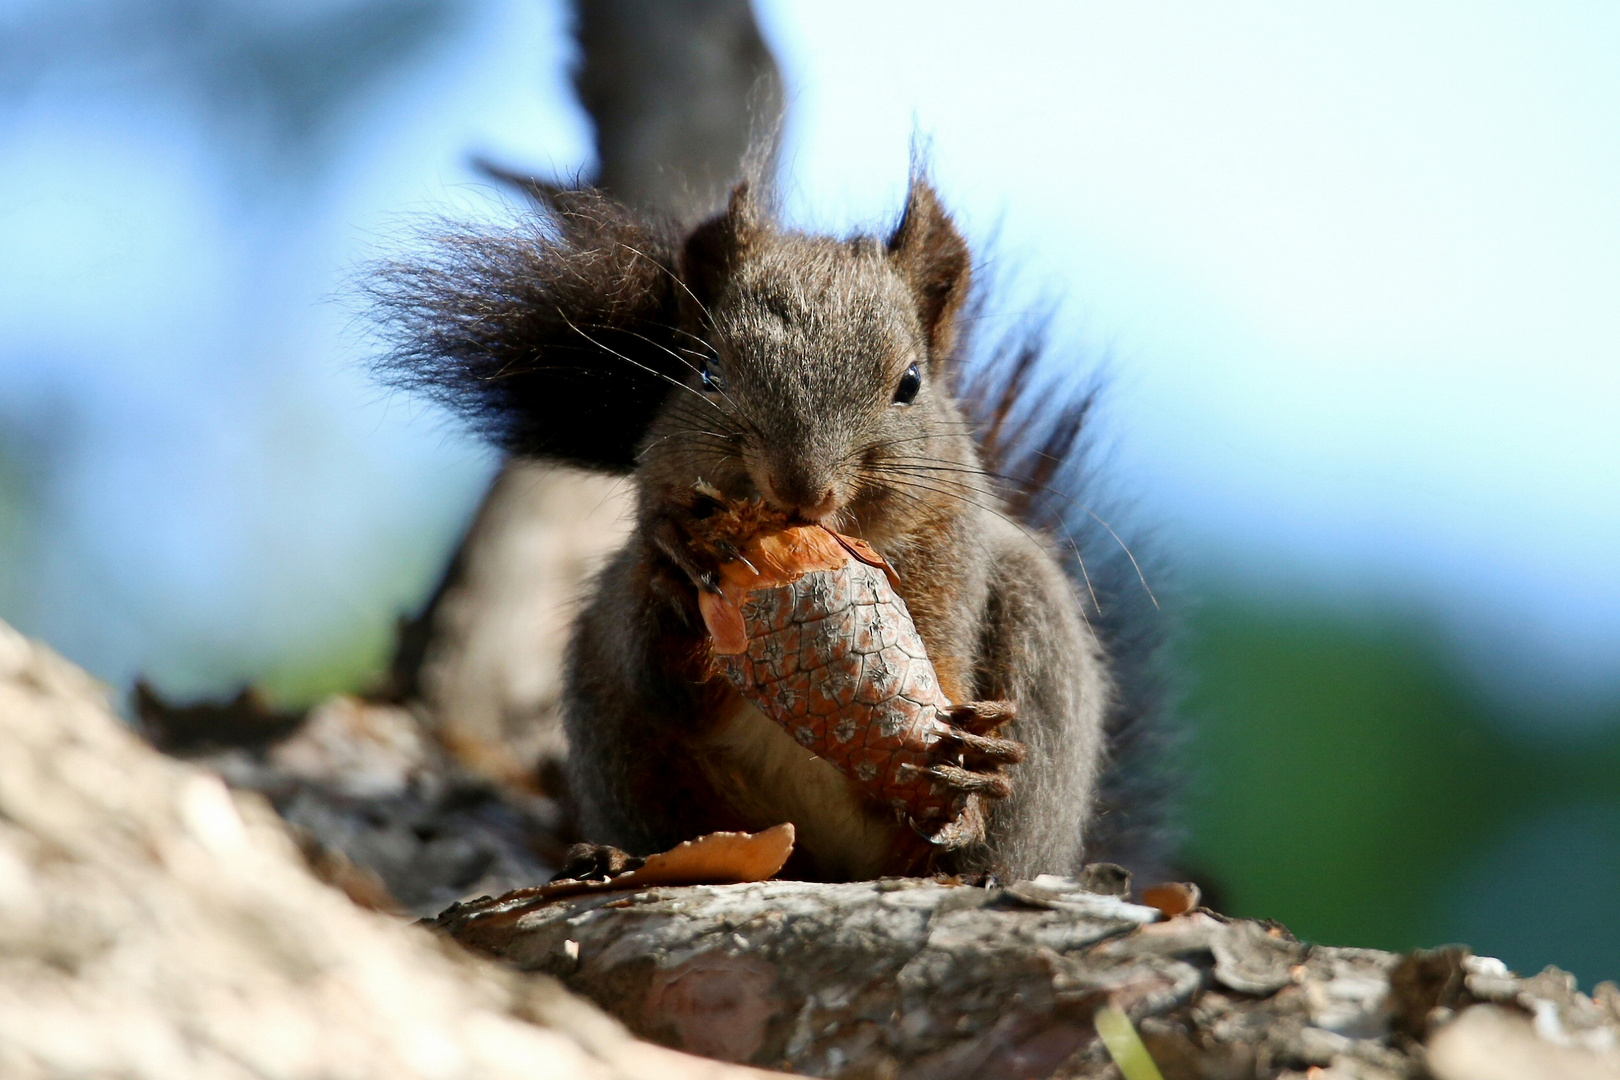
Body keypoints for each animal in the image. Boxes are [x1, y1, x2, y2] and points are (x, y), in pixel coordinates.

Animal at [372, 175, 1172, 887]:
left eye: (911, 383)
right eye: (705, 372)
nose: (799, 488)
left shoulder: (948, 575)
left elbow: (925, 693)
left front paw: (963, 756)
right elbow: (667, 684)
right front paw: (676, 580)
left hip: (1036, 642)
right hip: (622, 730)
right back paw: (615, 856)